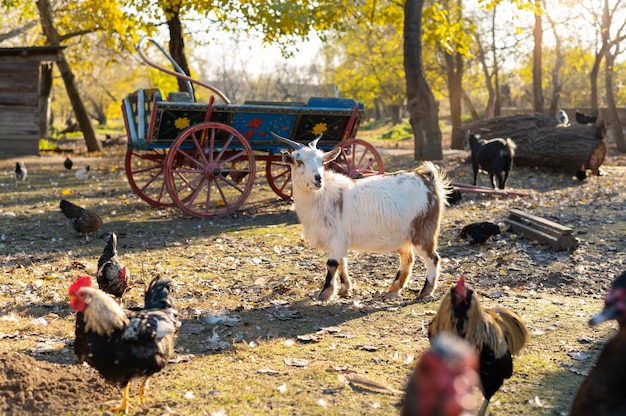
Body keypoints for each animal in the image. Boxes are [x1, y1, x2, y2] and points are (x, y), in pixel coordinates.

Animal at [270, 132, 448, 300]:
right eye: (298, 161)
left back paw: (425, 291)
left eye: (322, 161)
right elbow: (342, 262)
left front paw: (325, 293)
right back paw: (394, 289)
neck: (323, 195)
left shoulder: (336, 237)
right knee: (408, 259)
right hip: (403, 236)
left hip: (423, 230)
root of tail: (429, 181)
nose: (318, 179)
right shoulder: (339, 241)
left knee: (433, 258)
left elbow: (332, 264)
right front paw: (345, 289)